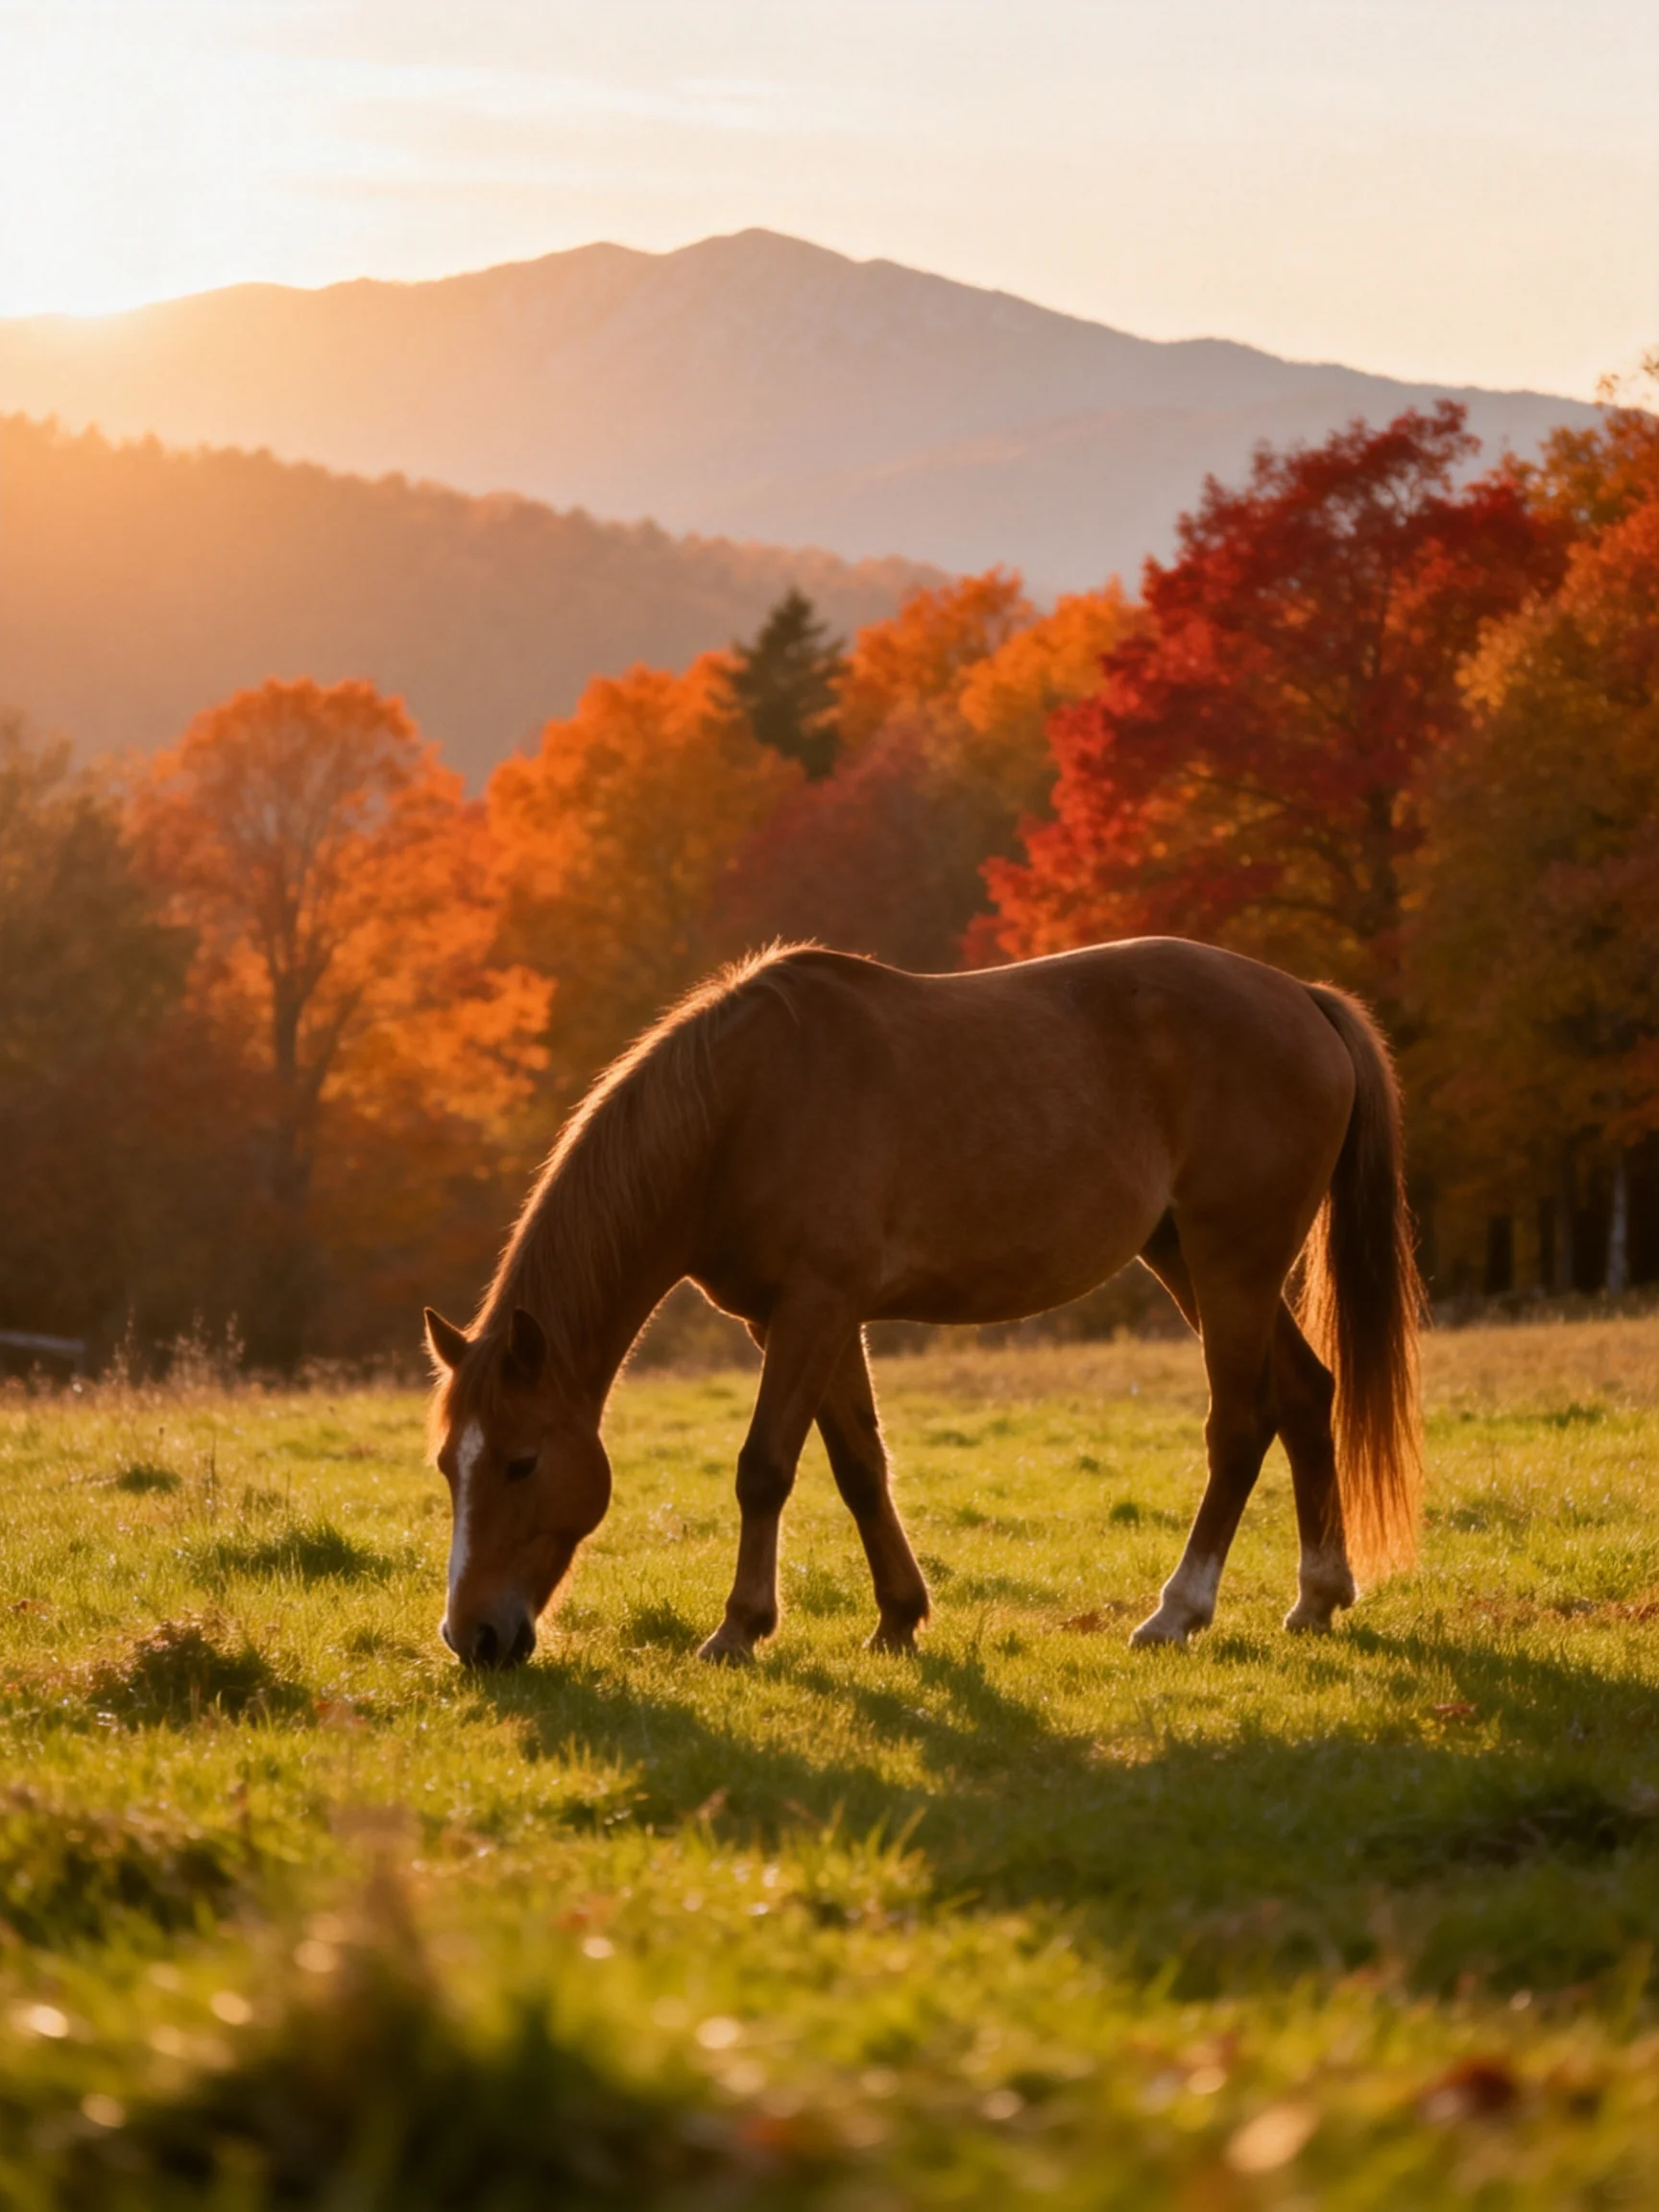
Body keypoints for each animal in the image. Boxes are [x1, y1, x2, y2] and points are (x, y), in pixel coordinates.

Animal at [424, 937, 1422, 1669]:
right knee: (1307, 1395)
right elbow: (859, 1467)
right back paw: (1318, 1595)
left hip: (1231, 1266)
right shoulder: (800, 1318)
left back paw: (1179, 1611)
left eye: (520, 1462)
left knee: (1239, 1427)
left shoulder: (815, 1307)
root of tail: (1303, 998)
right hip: (1192, 1260)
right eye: (446, 1468)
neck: (743, 1106)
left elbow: (765, 1468)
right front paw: (899, 1617)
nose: (473, 1637)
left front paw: (739, 1628)